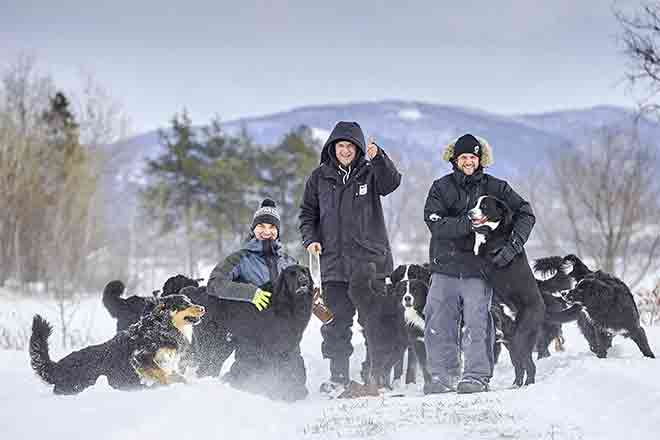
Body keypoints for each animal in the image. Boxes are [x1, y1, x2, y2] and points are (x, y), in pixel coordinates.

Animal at [470, 196, 548, 384]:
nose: (469, 213)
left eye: (484, 206)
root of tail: (543, 308)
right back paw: (517, 384)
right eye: (475, 203)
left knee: (529, 366)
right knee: (520, 366)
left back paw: (528, 385)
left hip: (520, 338)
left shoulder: (487, 263)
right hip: (512, 343)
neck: (500, 235)